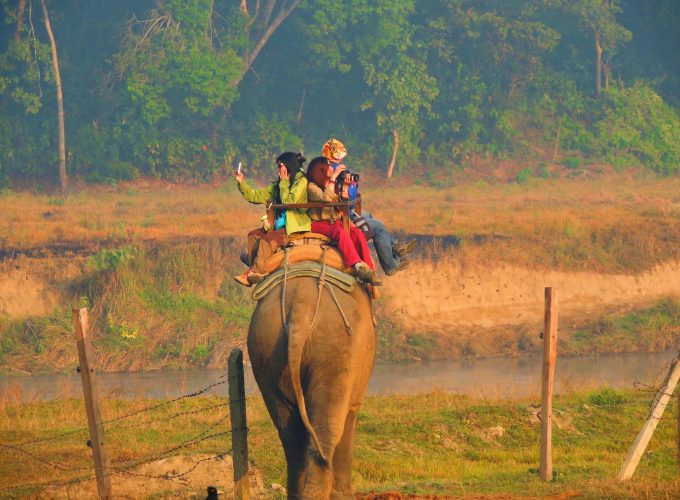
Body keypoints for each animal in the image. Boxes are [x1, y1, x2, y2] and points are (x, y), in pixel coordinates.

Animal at [248, 276, 378, 498]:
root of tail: (301, 307)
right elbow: (350, 416)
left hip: (266, 350)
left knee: (289, 433)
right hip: (335, 348)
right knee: (326, 429)